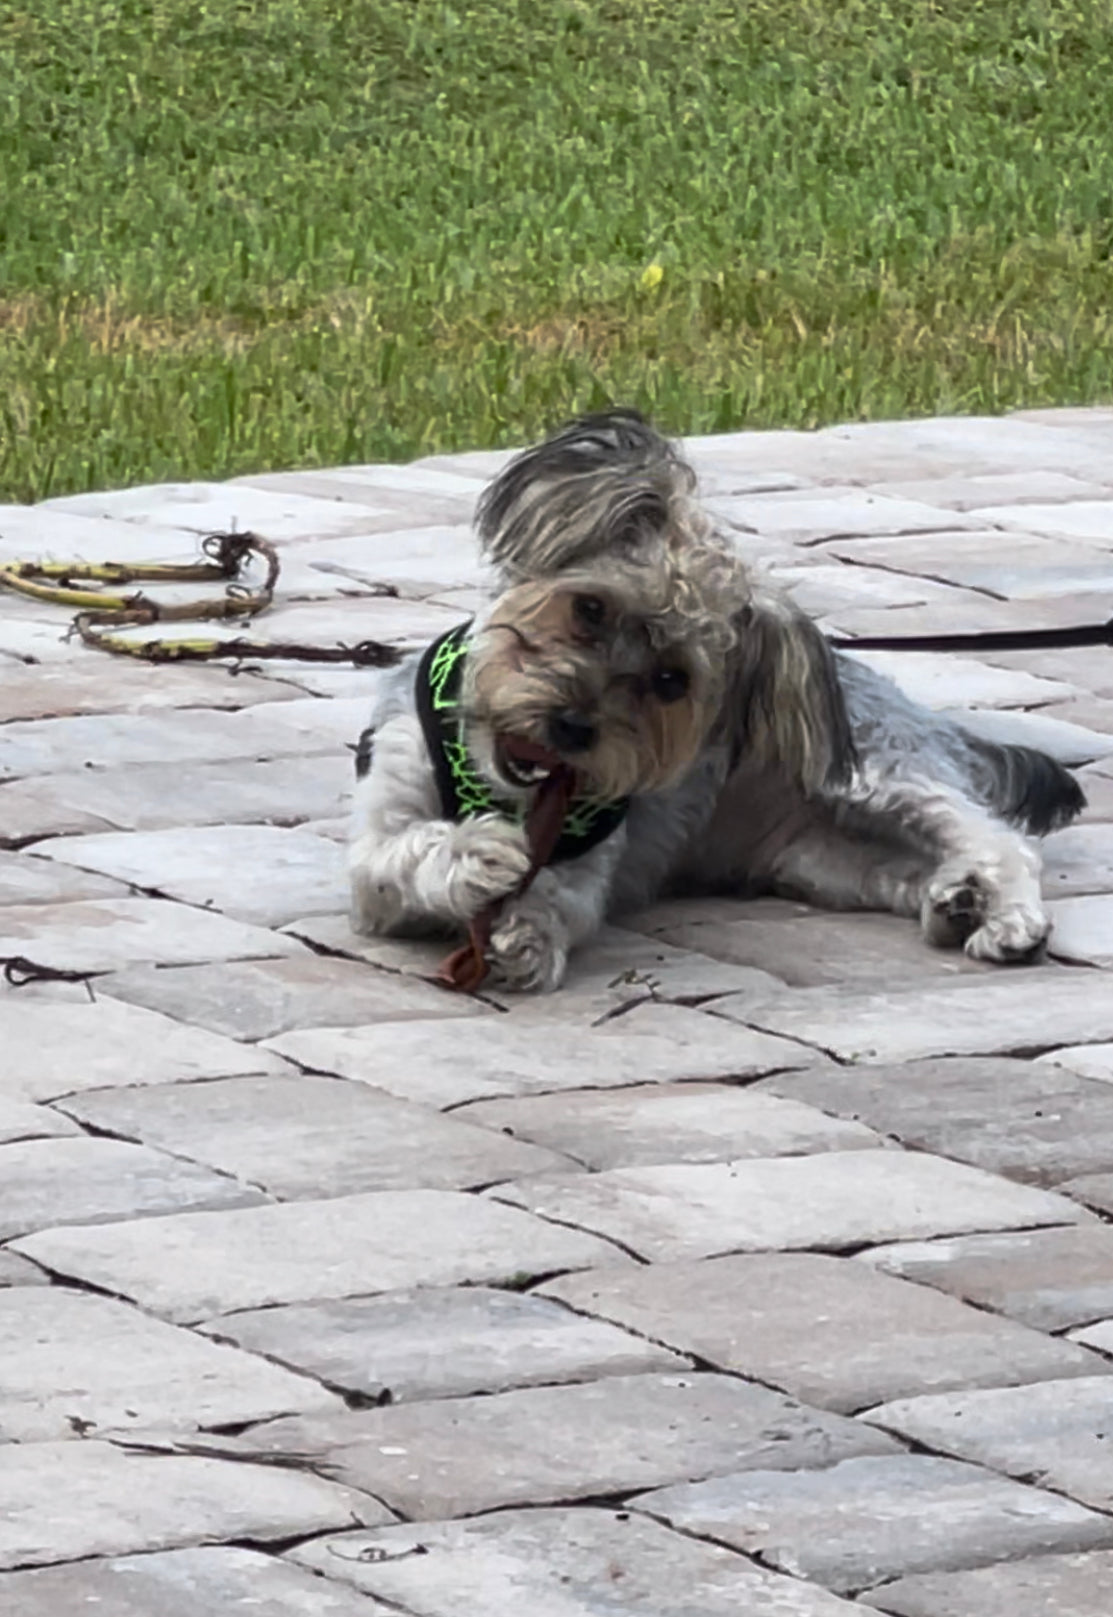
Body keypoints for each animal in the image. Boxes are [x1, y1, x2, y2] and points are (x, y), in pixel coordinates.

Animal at [346, 407, 1080, 983]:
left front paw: (524, 930)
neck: (496, 780)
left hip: (878, 773)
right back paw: (956, 899)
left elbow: (561, 897)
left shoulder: (590, 863)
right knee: (907, 869)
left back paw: (1007, 919)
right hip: (825, 859)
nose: (573, 726)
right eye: (589, 608)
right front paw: (476, 852)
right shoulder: (377, 849)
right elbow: (408, 851)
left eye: (673, 679)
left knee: (999, 839)